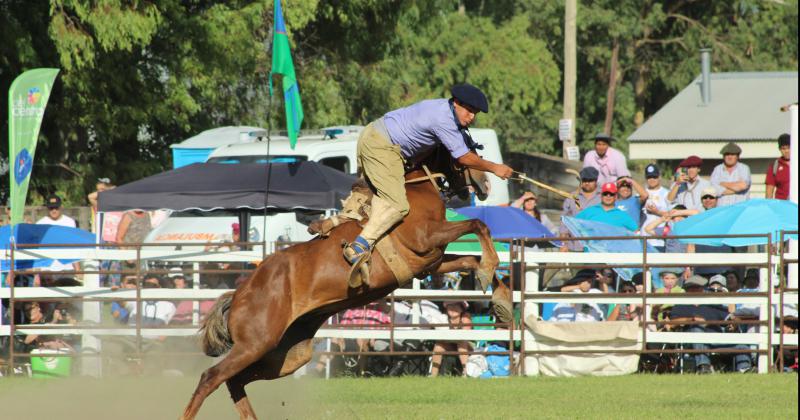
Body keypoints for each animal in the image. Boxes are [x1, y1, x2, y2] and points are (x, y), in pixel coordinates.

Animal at [180, 153, 506, 420]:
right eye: (467, 147)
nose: (487, 182)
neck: (415, 190)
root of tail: (239, 294)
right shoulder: (426, 238)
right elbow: (477, 224)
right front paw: (491, 268)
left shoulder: (430, 263)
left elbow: (469, 258)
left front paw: (498, 294)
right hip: (255, 344)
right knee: (210, 378)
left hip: (287, 354)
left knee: (234, 381)